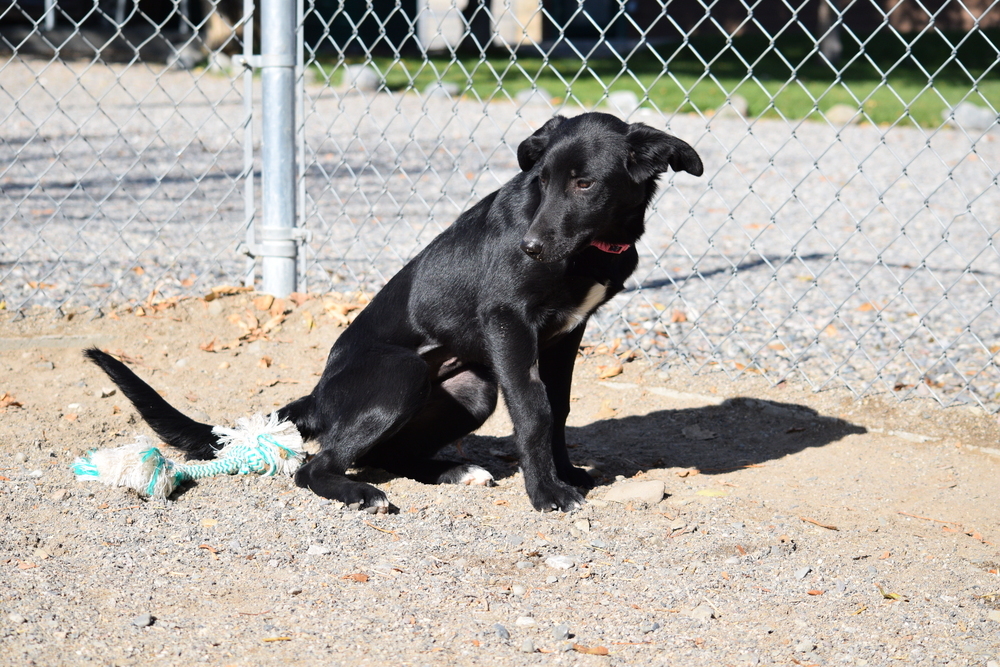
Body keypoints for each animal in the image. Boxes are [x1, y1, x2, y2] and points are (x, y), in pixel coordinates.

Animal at [86, 112, 704, 516]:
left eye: (584, 183)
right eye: (541, 181)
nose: (530, 248)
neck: (594, 248)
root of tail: (317, 395)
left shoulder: (566, 334)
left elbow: (559, 407)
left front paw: (565, 473)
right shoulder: (509, 321)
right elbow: (533, 410)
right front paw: (546, 492)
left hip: (473, 390)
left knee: (389, 455)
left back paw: (451, 470)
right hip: (404, 376)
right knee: (316, 468)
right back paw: (362, 494)